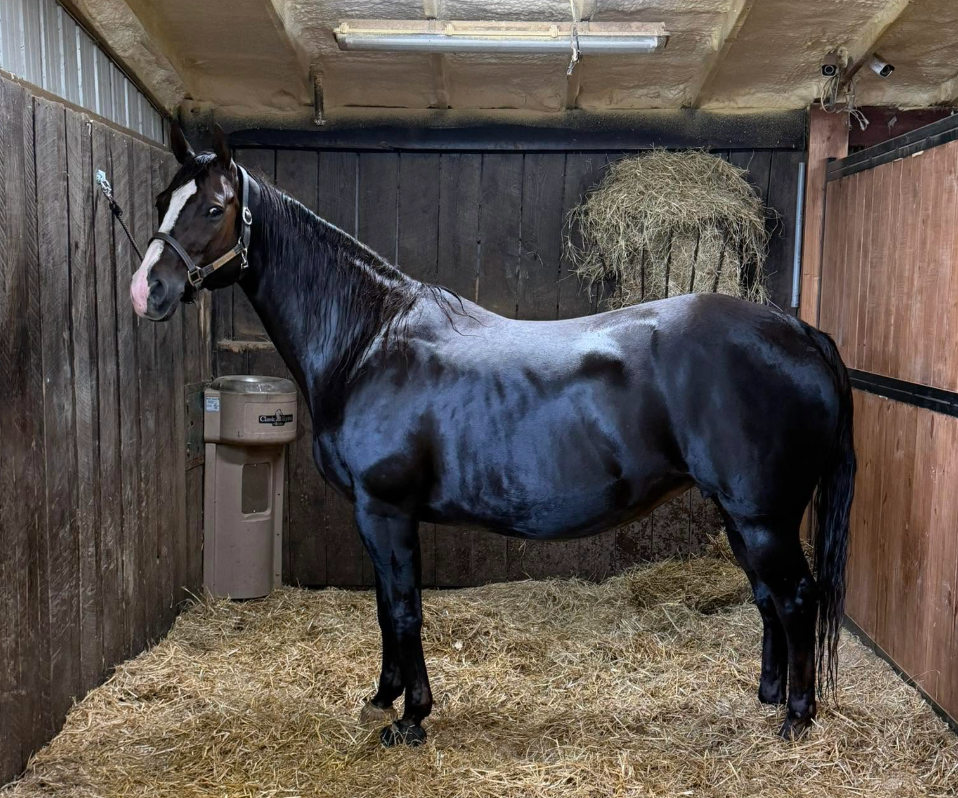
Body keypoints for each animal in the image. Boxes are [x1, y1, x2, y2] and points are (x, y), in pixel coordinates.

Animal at [131, 124, 855, 747]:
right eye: (164, 200)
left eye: (214, 208)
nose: (148, 291)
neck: (370, 343)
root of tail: (799, 332)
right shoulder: (377, 516)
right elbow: (384, 608)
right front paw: (383, 698)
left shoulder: (385, 510)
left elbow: (404, 610)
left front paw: (412, 718)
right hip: (742, 516)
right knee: (767, 600)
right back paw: (767, 696)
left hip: (762, 518)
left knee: (796, 598)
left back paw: (796, 717)